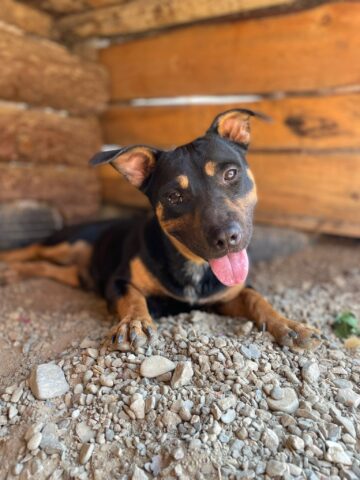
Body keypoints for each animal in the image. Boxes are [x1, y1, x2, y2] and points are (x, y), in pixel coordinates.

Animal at [0, 109, 320, 350]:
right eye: (173, 196)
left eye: (231, 174)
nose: (228, 238)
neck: (194, 265)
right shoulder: (117, 281)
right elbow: (133, 298)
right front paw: (134, 323)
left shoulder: (230, 295)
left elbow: (257, 299)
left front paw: (289, 325)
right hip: (69, 241)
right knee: (32, 249)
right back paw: (7, 265)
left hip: (76, 272)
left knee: (47, 268)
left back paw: (12, 274)